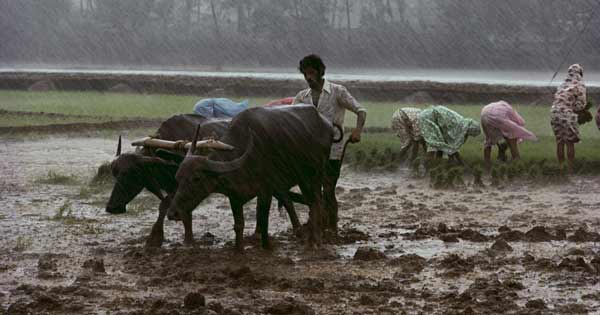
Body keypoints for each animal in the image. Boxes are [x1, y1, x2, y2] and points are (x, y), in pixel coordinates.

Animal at [145, 105, 332, 251]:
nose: (173, 213)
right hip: (302, 178)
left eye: (197, 179)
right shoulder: (234, 195)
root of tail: (325, 122)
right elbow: (238, 225)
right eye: (178, 177)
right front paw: (238, 249)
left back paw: (315, 240)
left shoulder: (266, 190)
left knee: (316, 202)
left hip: (317, 174)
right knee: (307, 202)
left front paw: (266, 247)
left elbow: (263, 219)